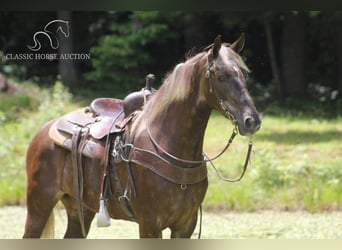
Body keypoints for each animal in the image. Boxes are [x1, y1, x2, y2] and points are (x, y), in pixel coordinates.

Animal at [23, 34, 262, 238]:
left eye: (245, 74)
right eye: (220, 76)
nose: (252, 121)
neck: (169, 144)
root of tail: (43, 132)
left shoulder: (186, 224)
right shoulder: (150, 224)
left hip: (79, 208)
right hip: (39, 206)